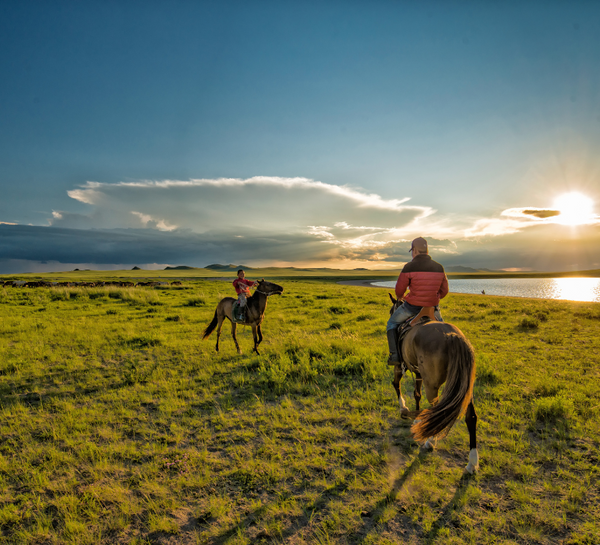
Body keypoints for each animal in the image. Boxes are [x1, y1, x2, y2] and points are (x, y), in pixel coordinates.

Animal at [390, 294, 478, 472]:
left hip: (432, 386)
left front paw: (404, 409)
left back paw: (430, 442)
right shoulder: (418, 372)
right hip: (466, 389)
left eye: (391, 310)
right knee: (471, 417)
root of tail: (453, 336)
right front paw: (416, 418)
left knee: (438, 412)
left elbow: (397, 384)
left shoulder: (399, 366)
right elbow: (417, 394)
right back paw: (472, 462)